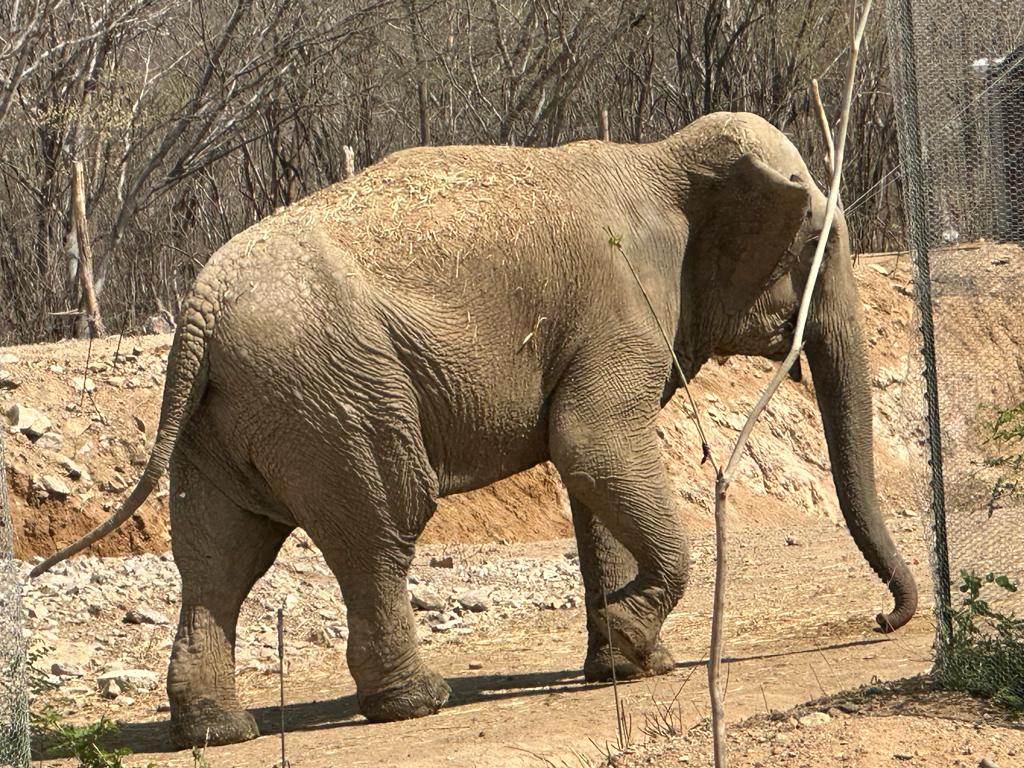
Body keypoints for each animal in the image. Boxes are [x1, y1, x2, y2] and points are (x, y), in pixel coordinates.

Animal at [32, 111, 917, 749]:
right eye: (819, 242)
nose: (883, 622)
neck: (662, 156)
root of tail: (200, 311)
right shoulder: (620, 309)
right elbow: (592, 446)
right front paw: (634, 644)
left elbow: (590, 479)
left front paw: (629, 665)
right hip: (336, 393)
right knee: (383, 526)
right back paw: (418, 703)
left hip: (231, 412)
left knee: (221, 557)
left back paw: (219, 732)